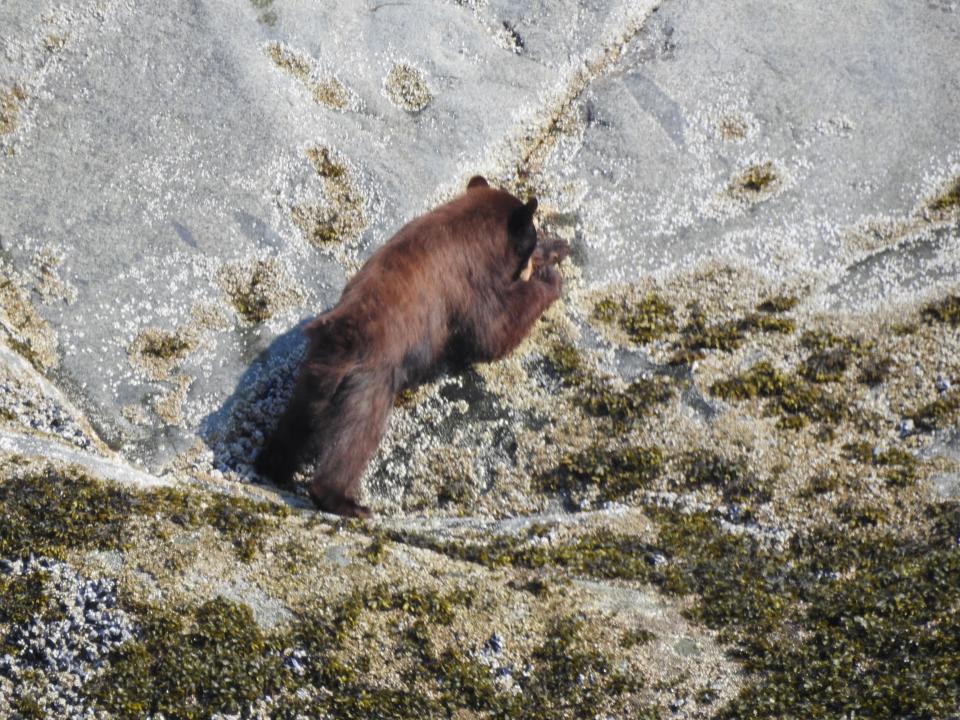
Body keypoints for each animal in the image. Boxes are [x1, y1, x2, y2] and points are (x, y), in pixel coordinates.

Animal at [255, 179, 568, 516]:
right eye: (531, 233)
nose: (542, 241)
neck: (468, 222)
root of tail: (339, 338)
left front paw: (557, 247)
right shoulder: (471, 281)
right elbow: (492, 332)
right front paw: (548, 281)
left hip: (313, 375)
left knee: (296, 422)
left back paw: (273, 465)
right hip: (368, 382)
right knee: (356, 435)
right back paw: (344, 500)